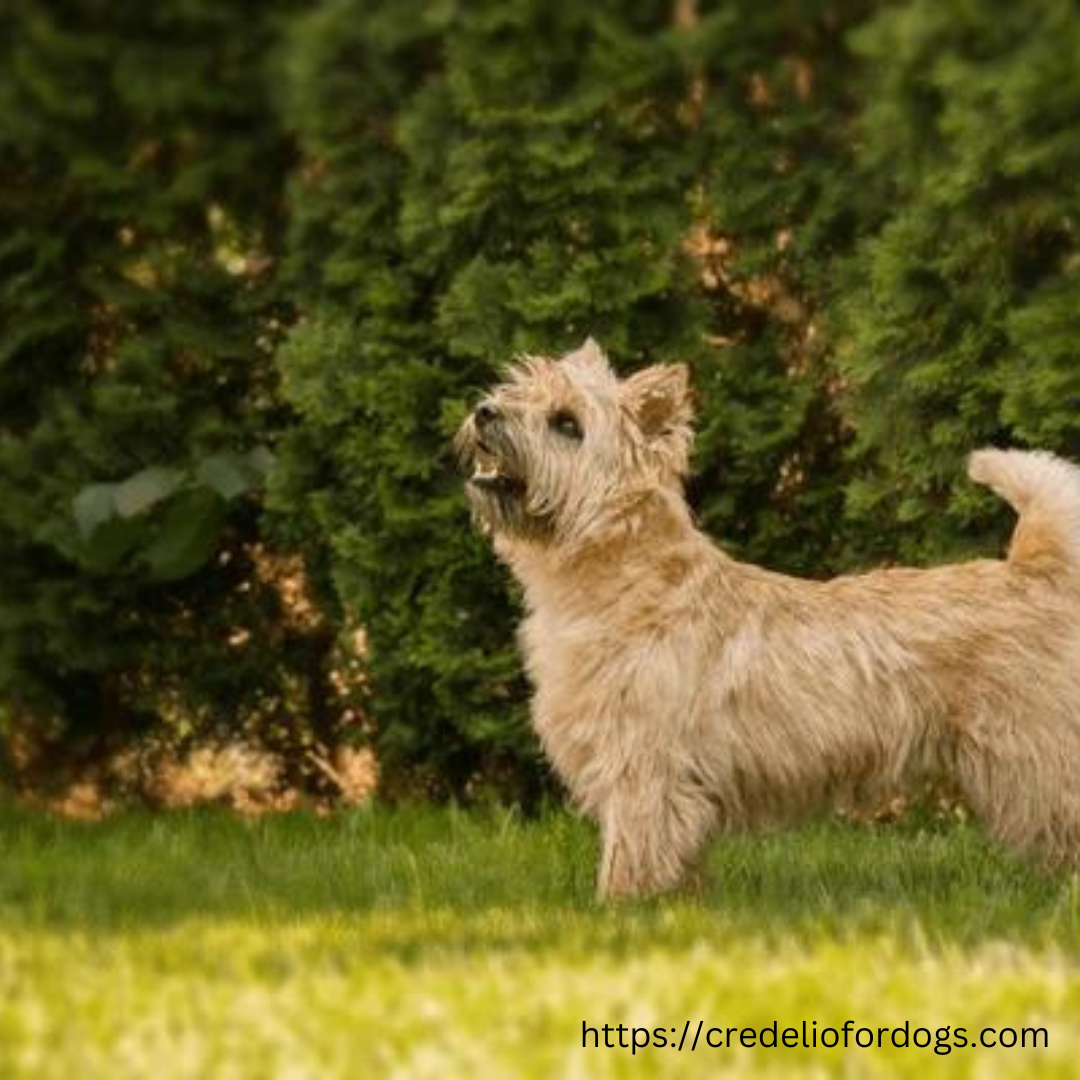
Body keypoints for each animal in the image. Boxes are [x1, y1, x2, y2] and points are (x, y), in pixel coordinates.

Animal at [455, 341, 1080, 898]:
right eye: (517, 388)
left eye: (567, 423)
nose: (485, 410)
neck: (621, 576)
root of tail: (1038, 569)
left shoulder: (643, 765)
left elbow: (632, 848)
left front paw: (619, 910)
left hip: (1034, 751)